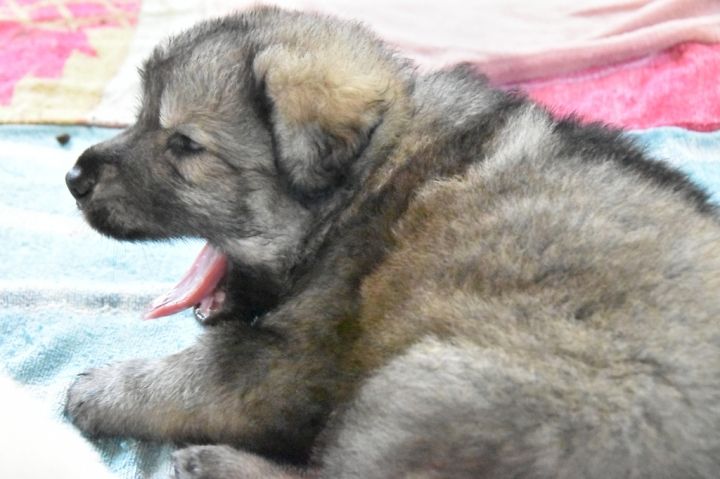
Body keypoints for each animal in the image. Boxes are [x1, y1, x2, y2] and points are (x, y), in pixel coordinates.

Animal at [64, 7, 720, 478]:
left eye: (184, 144)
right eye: (140, 117)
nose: (73, 177)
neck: (368, 176)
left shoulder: (293, 366)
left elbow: (193, 377)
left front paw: (99, 389)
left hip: (423, 385)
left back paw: (216, 463)